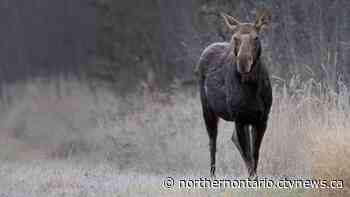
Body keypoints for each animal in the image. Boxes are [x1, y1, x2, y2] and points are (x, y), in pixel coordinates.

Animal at [198, 10, 272, 178]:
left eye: (256, 37)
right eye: (235, 38)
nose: (243, 63)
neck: (252, 87)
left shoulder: (262, 119)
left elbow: (254, 155)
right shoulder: (239, 118)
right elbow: (249, 157)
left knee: (234, 140)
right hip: (207, 109)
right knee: (212, 141)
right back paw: (212, 175)